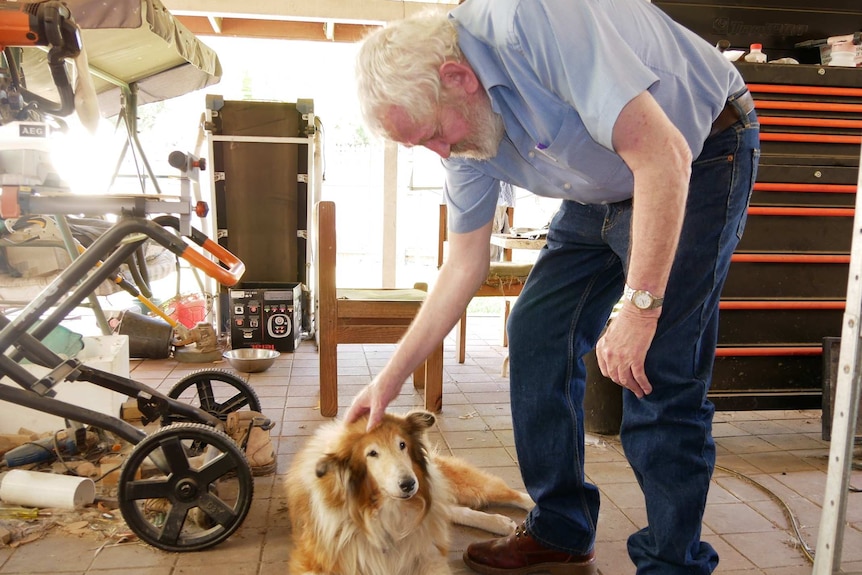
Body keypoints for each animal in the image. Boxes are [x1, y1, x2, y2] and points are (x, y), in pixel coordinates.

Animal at [286, 410, 536, 575]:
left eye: (402, 445)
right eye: (372, 453)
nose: (409, 484)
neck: (384, 510)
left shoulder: (428, 554)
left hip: (460, 484)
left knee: (507, 492)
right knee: (457, 510)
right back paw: (501, 522)